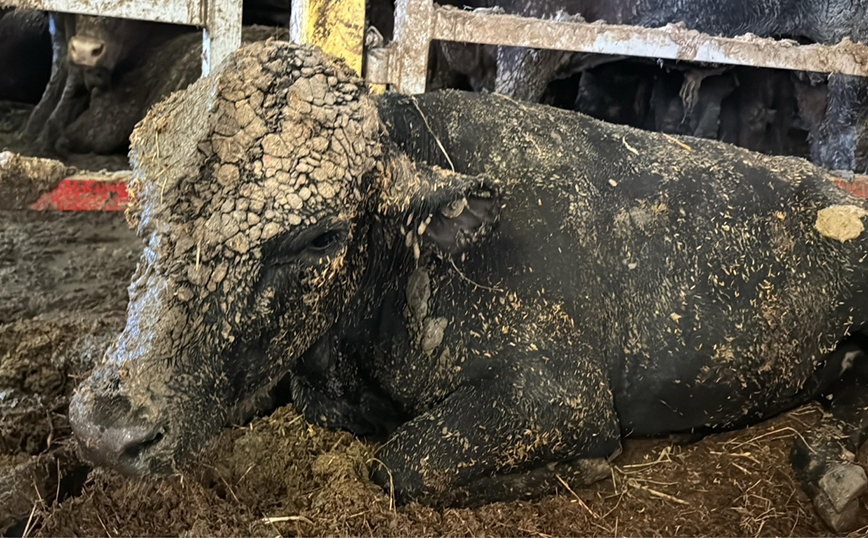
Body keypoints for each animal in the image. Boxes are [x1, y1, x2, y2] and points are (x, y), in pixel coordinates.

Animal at [71, 42, 868, 510]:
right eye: (140, 204)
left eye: (320, 235)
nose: (109, 430)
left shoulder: (563, 395)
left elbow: (402, 462)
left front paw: (573, 472)